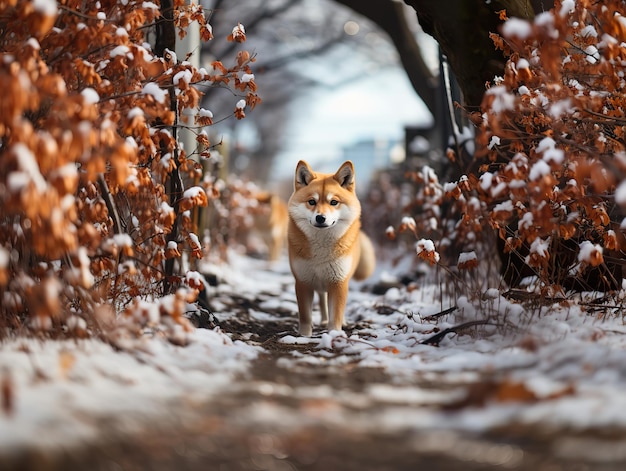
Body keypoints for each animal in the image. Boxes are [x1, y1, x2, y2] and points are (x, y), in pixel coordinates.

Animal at [286, 160, 372, 338]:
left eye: (334, 202)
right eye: (312, 202)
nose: (320, 218)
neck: (321, 248)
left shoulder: (338, 283)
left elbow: (336, 314)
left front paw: (334, 334)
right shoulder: (303, 282)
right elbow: (305, 315)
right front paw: (304, 336)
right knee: (322, 301)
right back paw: (324, 320)